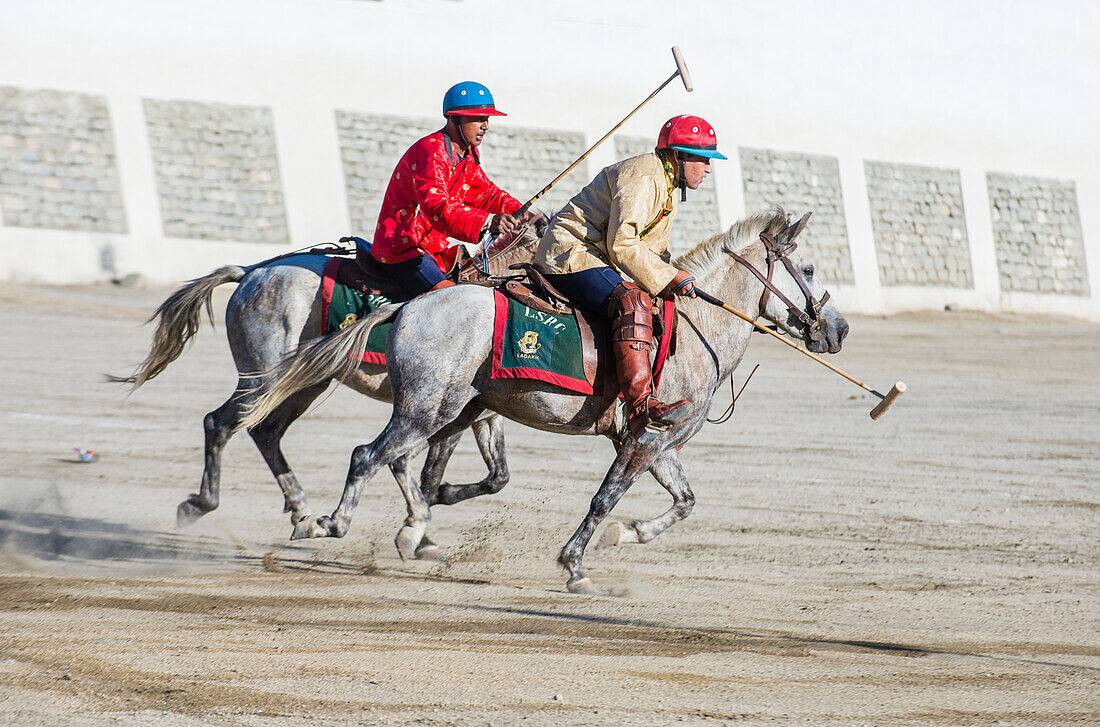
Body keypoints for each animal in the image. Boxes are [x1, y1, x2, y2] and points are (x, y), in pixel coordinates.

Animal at [245, 207, 844, 589]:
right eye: (810, 267)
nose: (836, 330)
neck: (698, 330)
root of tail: (410, 305)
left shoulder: (658, 444)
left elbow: (684, 501)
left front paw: (626, 535)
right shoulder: (644, 440)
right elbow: (603, 500)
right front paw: (576, 563)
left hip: (443, 408)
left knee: (379, 458)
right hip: (425, 408)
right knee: (364, 454)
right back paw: (328, 522)